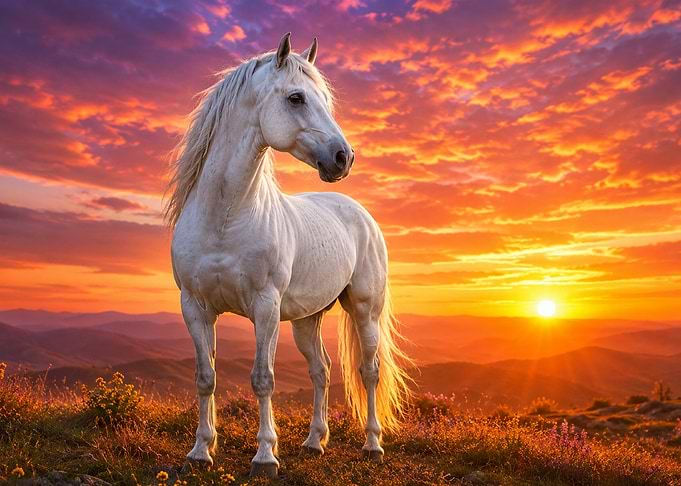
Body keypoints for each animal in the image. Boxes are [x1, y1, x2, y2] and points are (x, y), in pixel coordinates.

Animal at [165, 33, 412, 478]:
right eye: (296, 98)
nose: (343, 158)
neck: (225, 219)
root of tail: (358, 211)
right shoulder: (195, 307)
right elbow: (205, 377)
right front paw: (201, 451)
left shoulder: (265, 307)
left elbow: (263, 379)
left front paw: (265, 456)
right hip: (305, 320)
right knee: (321, 370)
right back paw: (315, 442)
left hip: (364, 309)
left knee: (369, 372)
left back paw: (372, 445)